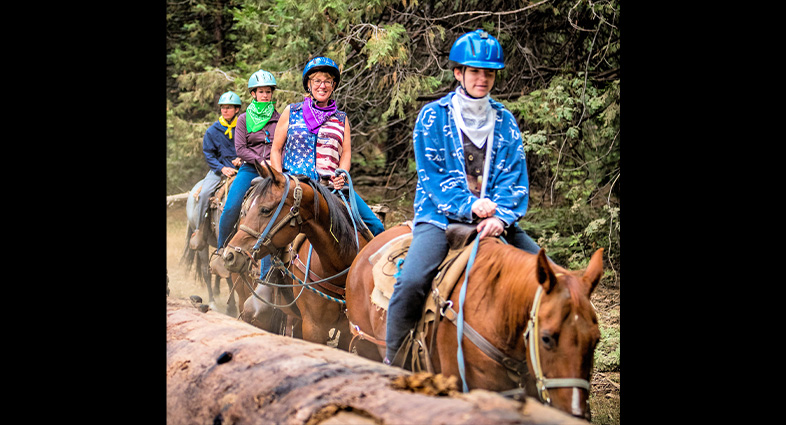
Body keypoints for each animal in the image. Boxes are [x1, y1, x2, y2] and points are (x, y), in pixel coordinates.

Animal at [217, 161, 370, 350]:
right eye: (245, 211)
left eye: (265, 210)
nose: (230, 255)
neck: (338, 267)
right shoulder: (314, 327)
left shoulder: (348, 333)